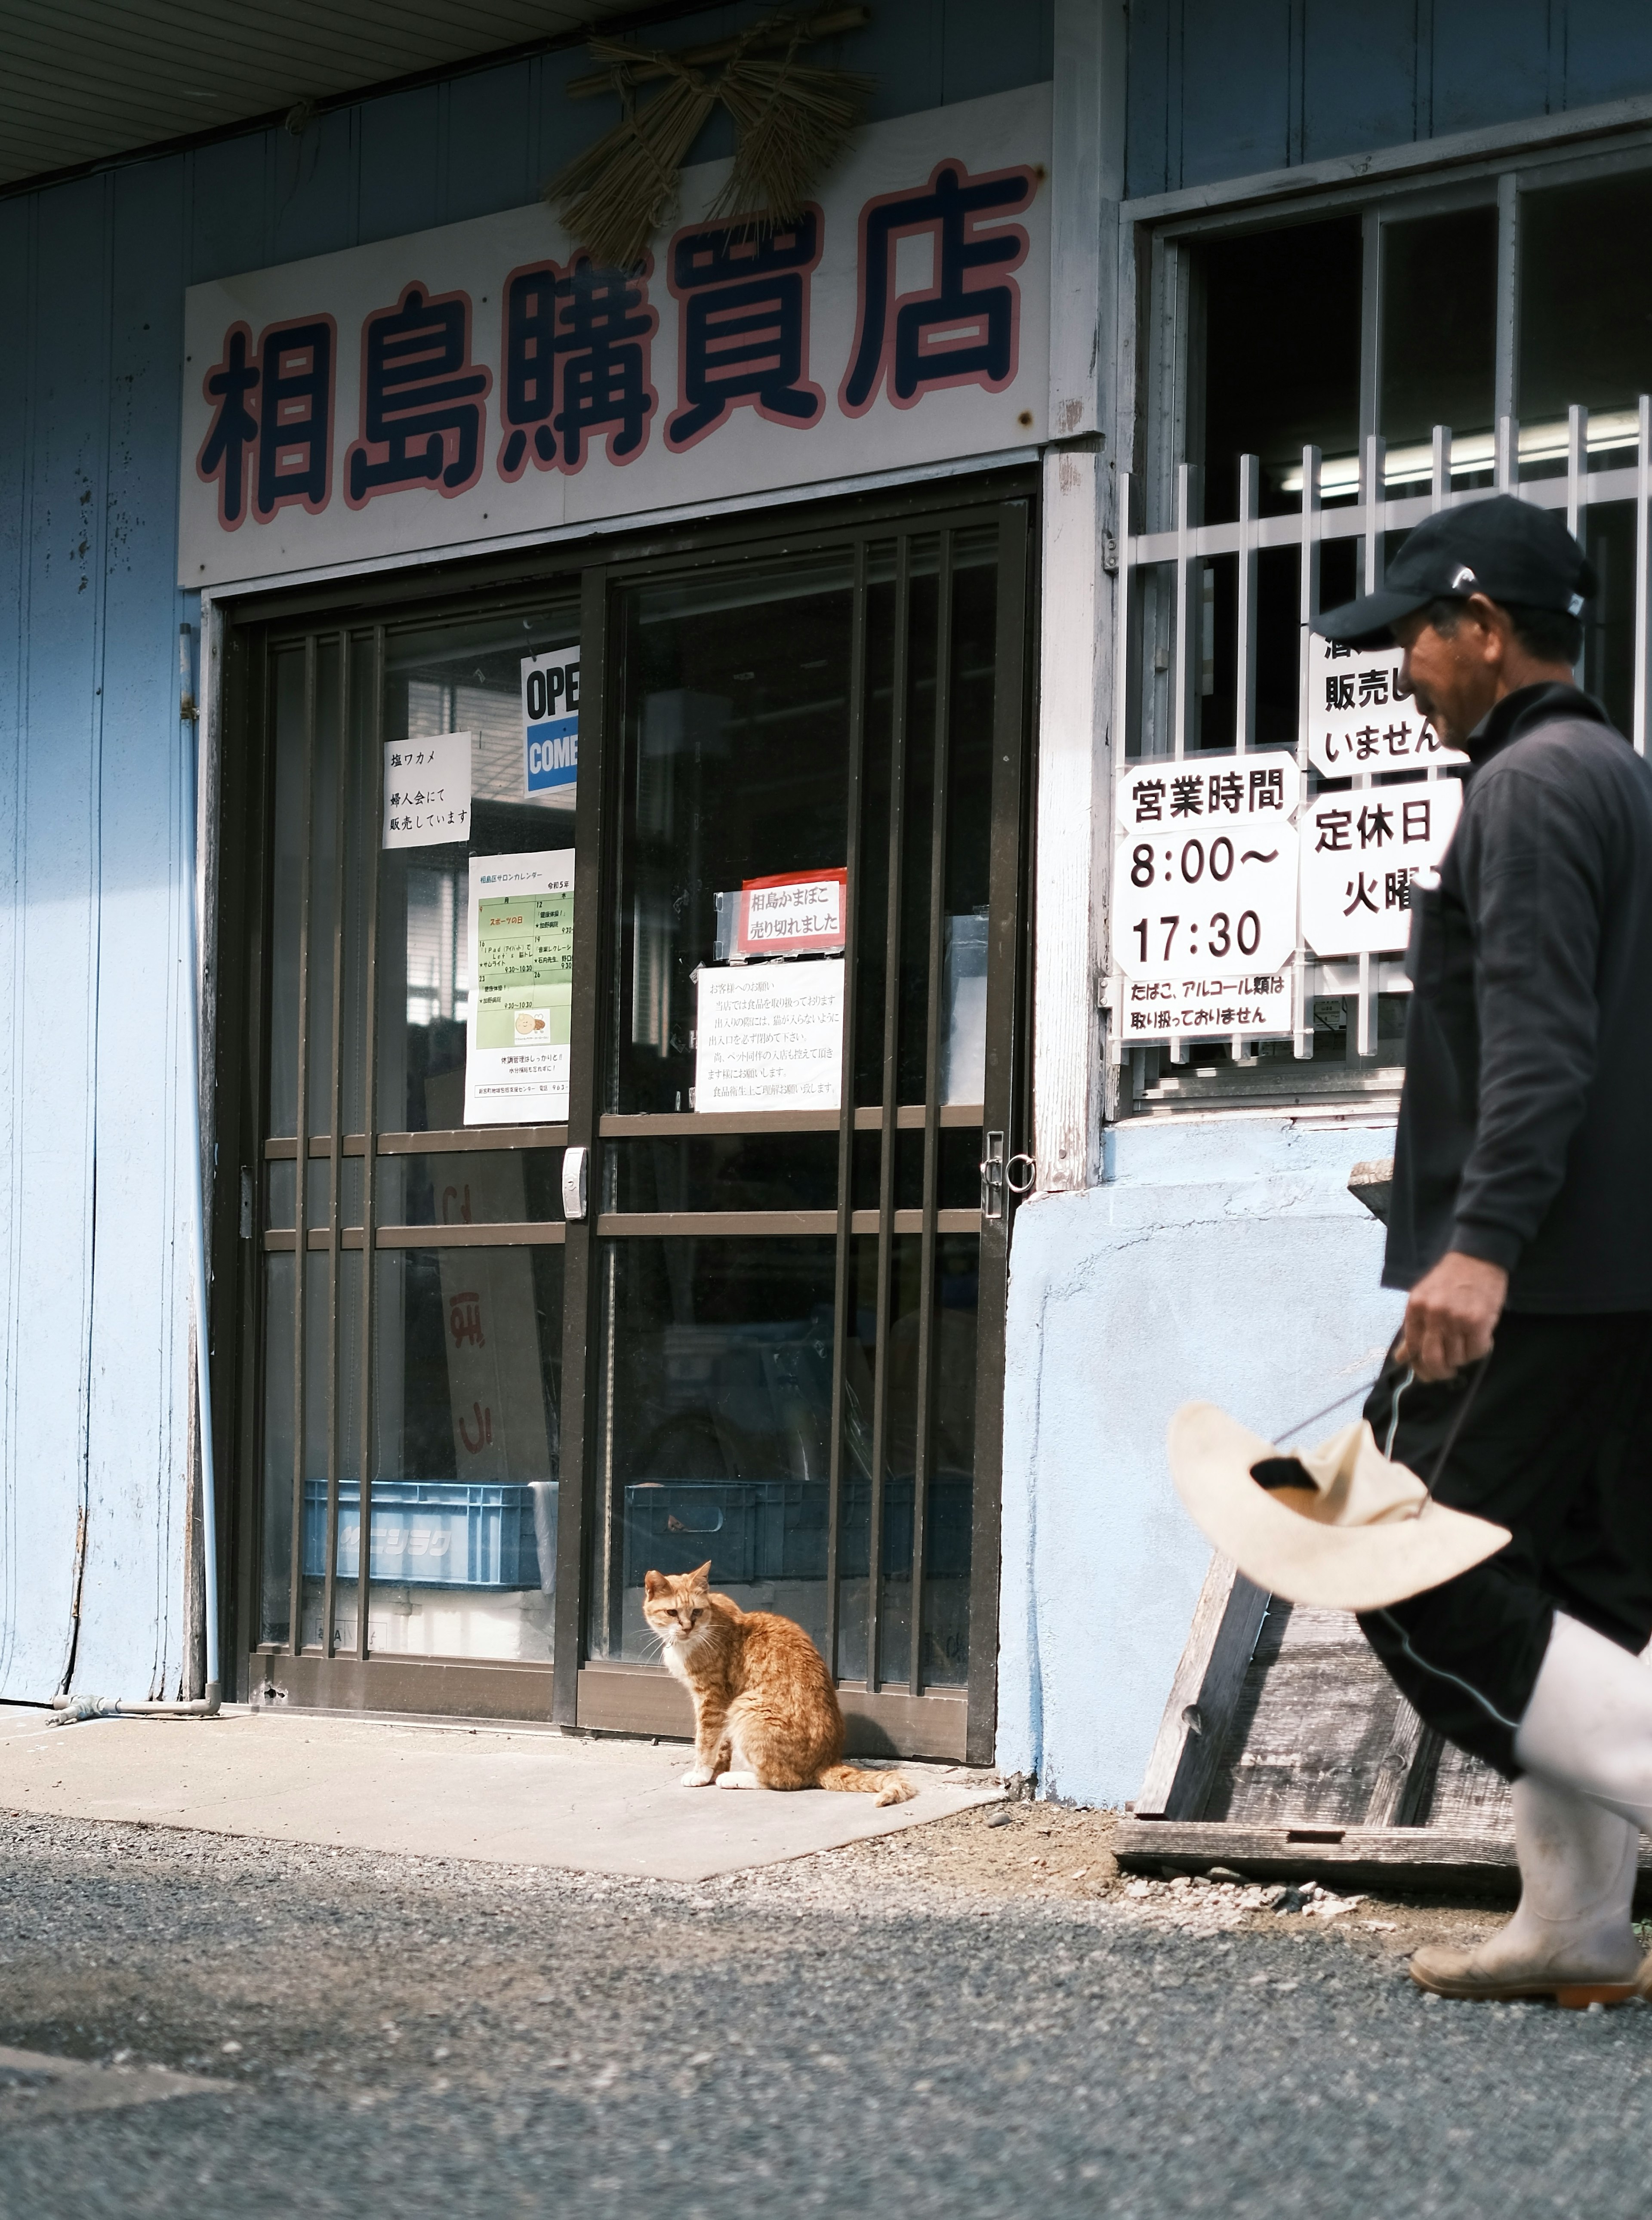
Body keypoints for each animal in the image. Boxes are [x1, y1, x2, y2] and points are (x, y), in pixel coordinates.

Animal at [644, 1563, 915, 1802]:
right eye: (672, 1613)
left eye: (696, 1612)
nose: (688, 1628)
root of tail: (827, 1763)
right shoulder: (721, 1704)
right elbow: (722, 1744)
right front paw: (715, 1771)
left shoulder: (712, 1698)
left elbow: (706, 1740)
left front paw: (701, 1774)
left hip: (745, 1705)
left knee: (783, 1781)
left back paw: (735, 1779)